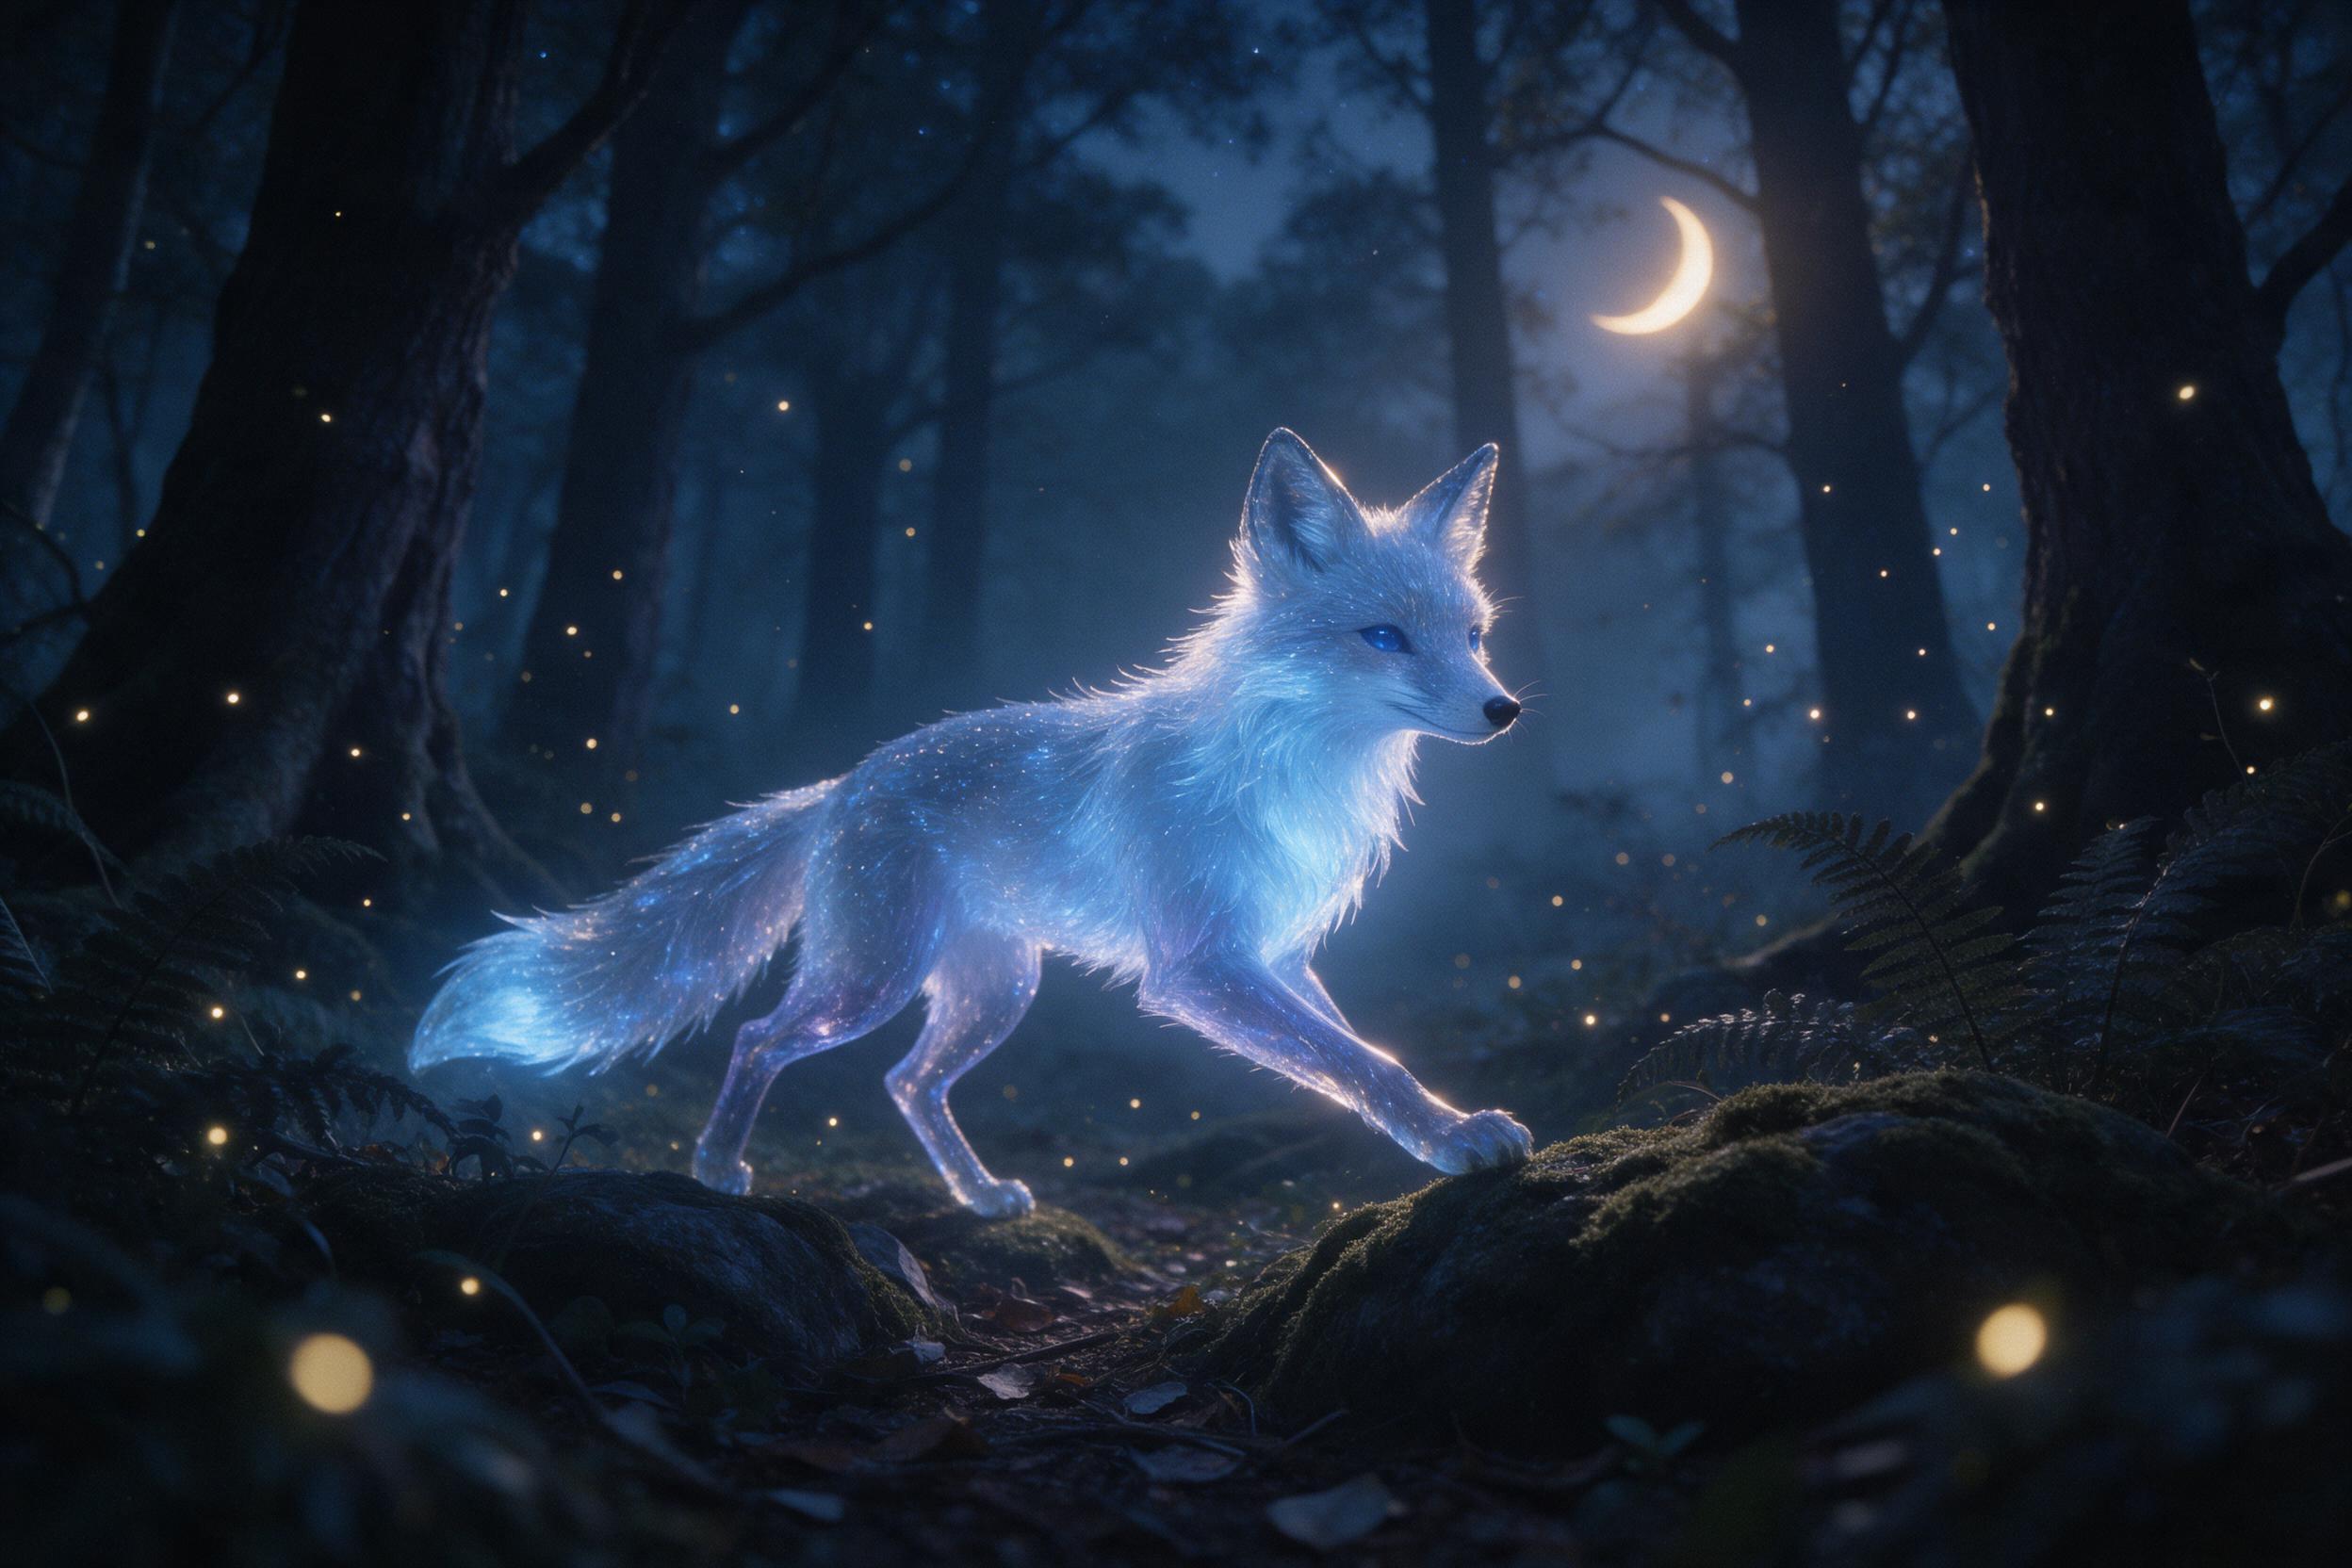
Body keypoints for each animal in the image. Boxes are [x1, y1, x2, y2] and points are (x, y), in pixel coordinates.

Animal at [411, 429, 1535, 1216]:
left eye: (1474, 635)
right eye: (1384, 637)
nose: (1505, 709)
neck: (1297, 772)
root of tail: (841, 784)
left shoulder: (1277, 954)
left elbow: (1354, 1051)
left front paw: (1426, 1133)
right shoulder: (1199, 966)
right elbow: (1366, 1060)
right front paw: (1453, 1139)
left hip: (994, 991)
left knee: (906, 1080)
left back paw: (979, 1194)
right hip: (872, 978)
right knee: (761, 1036)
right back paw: (718, 1163)